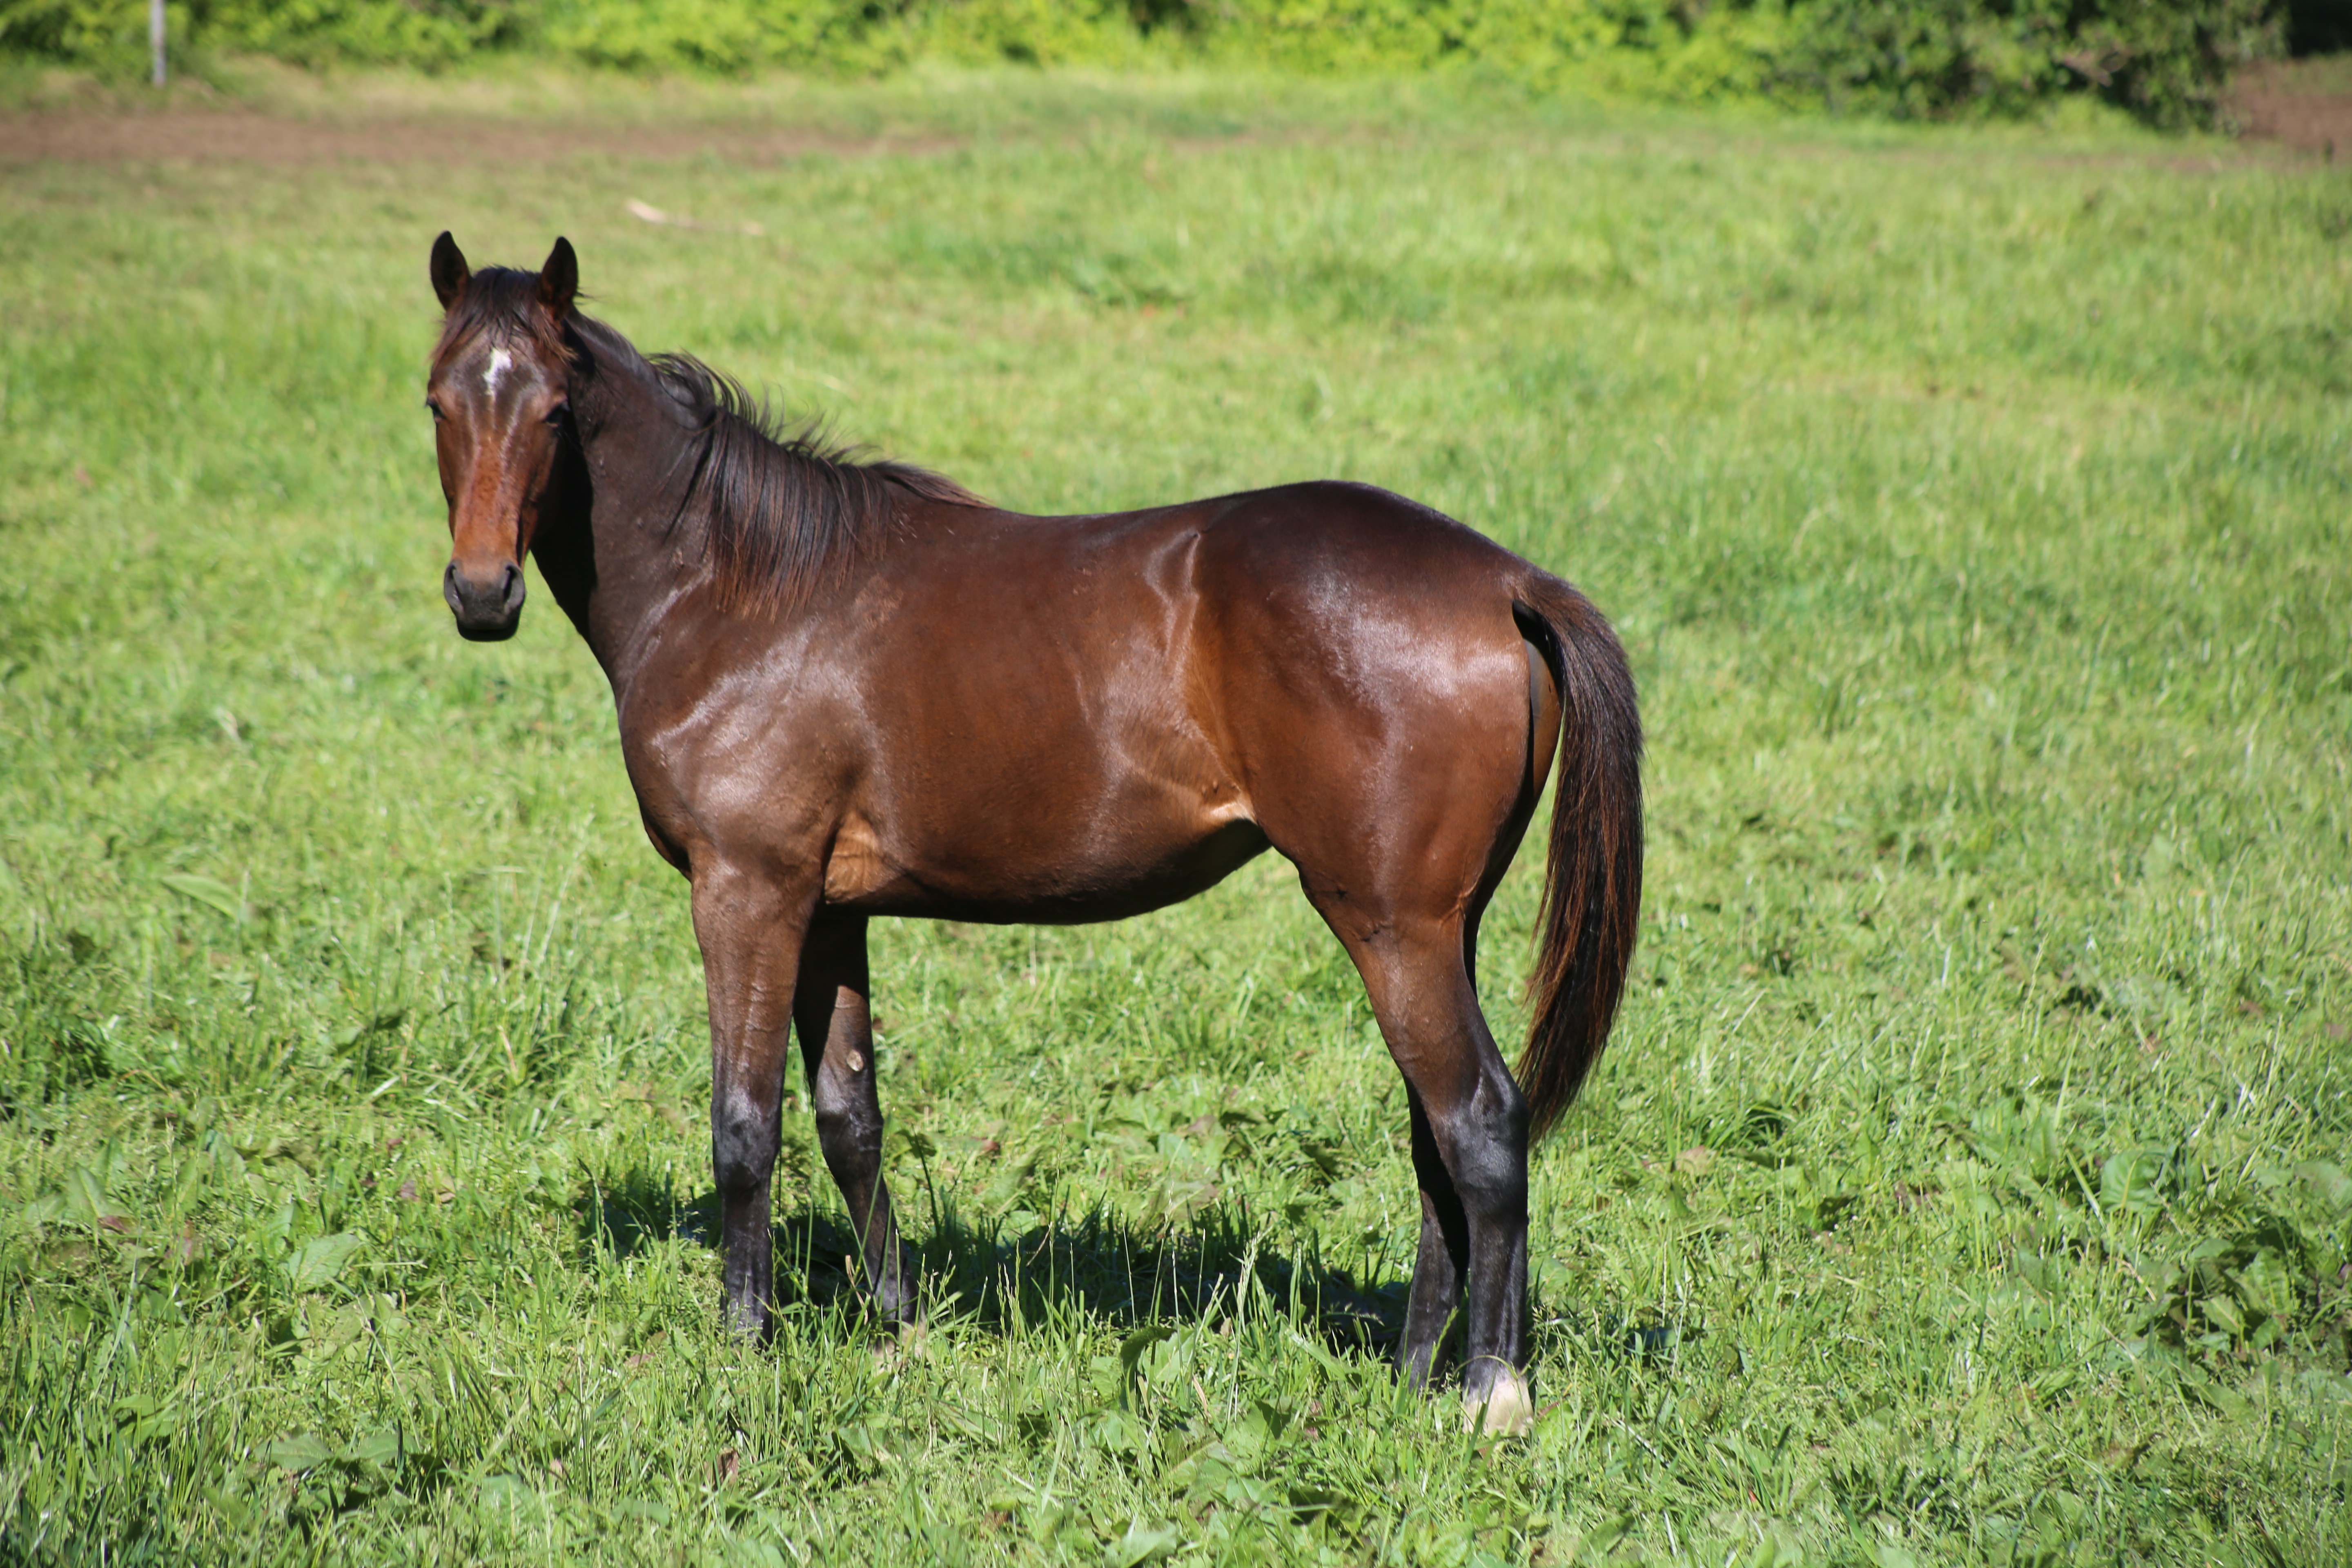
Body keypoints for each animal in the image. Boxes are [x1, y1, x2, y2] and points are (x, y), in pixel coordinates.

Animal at [423, 236, 1637, 1439]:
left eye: (553, 411)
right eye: (438, 400)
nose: (482, 595)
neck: (741, 589)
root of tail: (1504, 582)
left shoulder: (747, 892)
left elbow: (743, 1127)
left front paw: (743, 1344)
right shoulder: (830, 910)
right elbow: (850, 1117)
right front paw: (897, 1326)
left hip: (1391, 927)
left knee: (1478, 1123)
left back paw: (1490, 1391)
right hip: (1437, 928)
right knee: (1436, 1134)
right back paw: (1417, 1369)